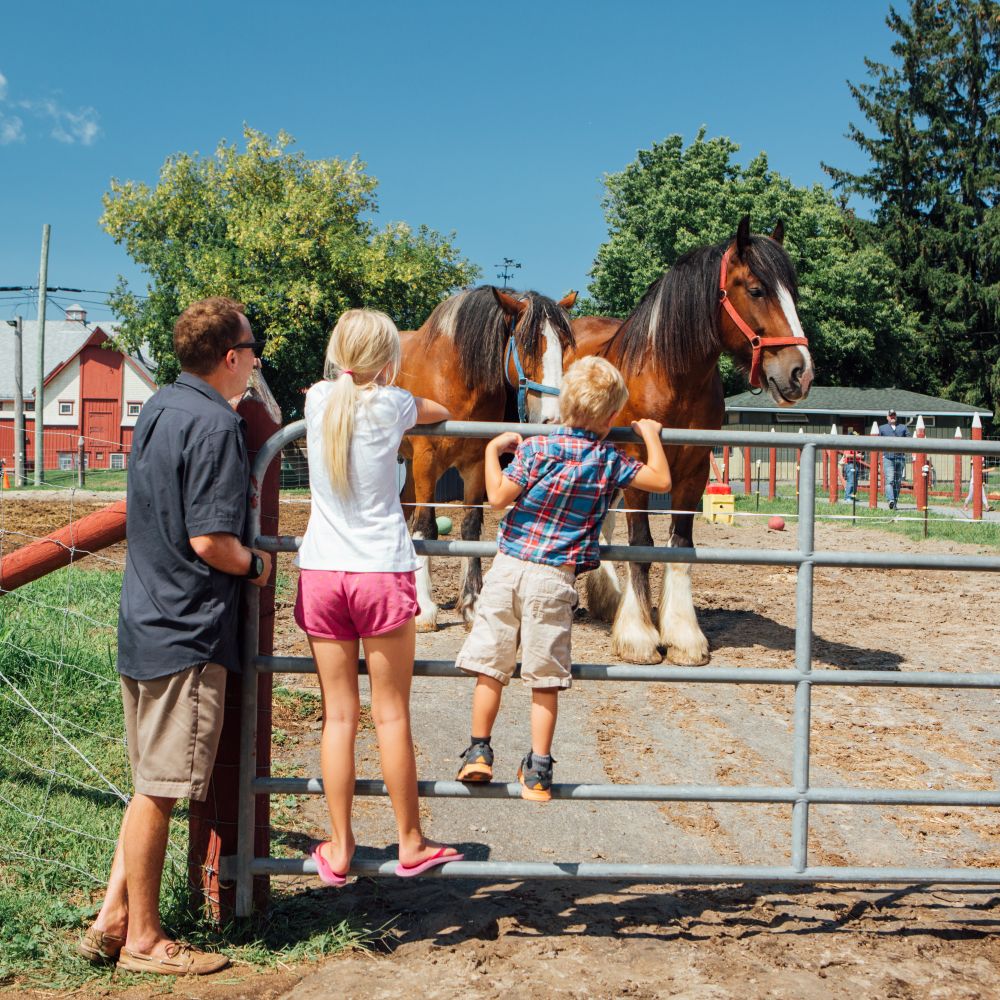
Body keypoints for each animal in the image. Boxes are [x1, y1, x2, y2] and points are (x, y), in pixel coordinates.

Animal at [396, 285, 577, 630]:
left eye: (564, 344)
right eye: (527, 343)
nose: (553, 419)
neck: (453, 377)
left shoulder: (476, 465)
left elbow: (470, 527)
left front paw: (471, 603)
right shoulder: (427, 461)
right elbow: (426, 526)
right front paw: (425, 609)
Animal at [572, 216, 814, 664]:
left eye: (793, 294)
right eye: (756, 289)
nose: (800, 373)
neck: (668, 375)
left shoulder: (695, 469)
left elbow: (679, 546)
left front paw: (683, 635)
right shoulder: (639, 469)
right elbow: (642, 544)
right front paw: (639, 636)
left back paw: (607, 599)